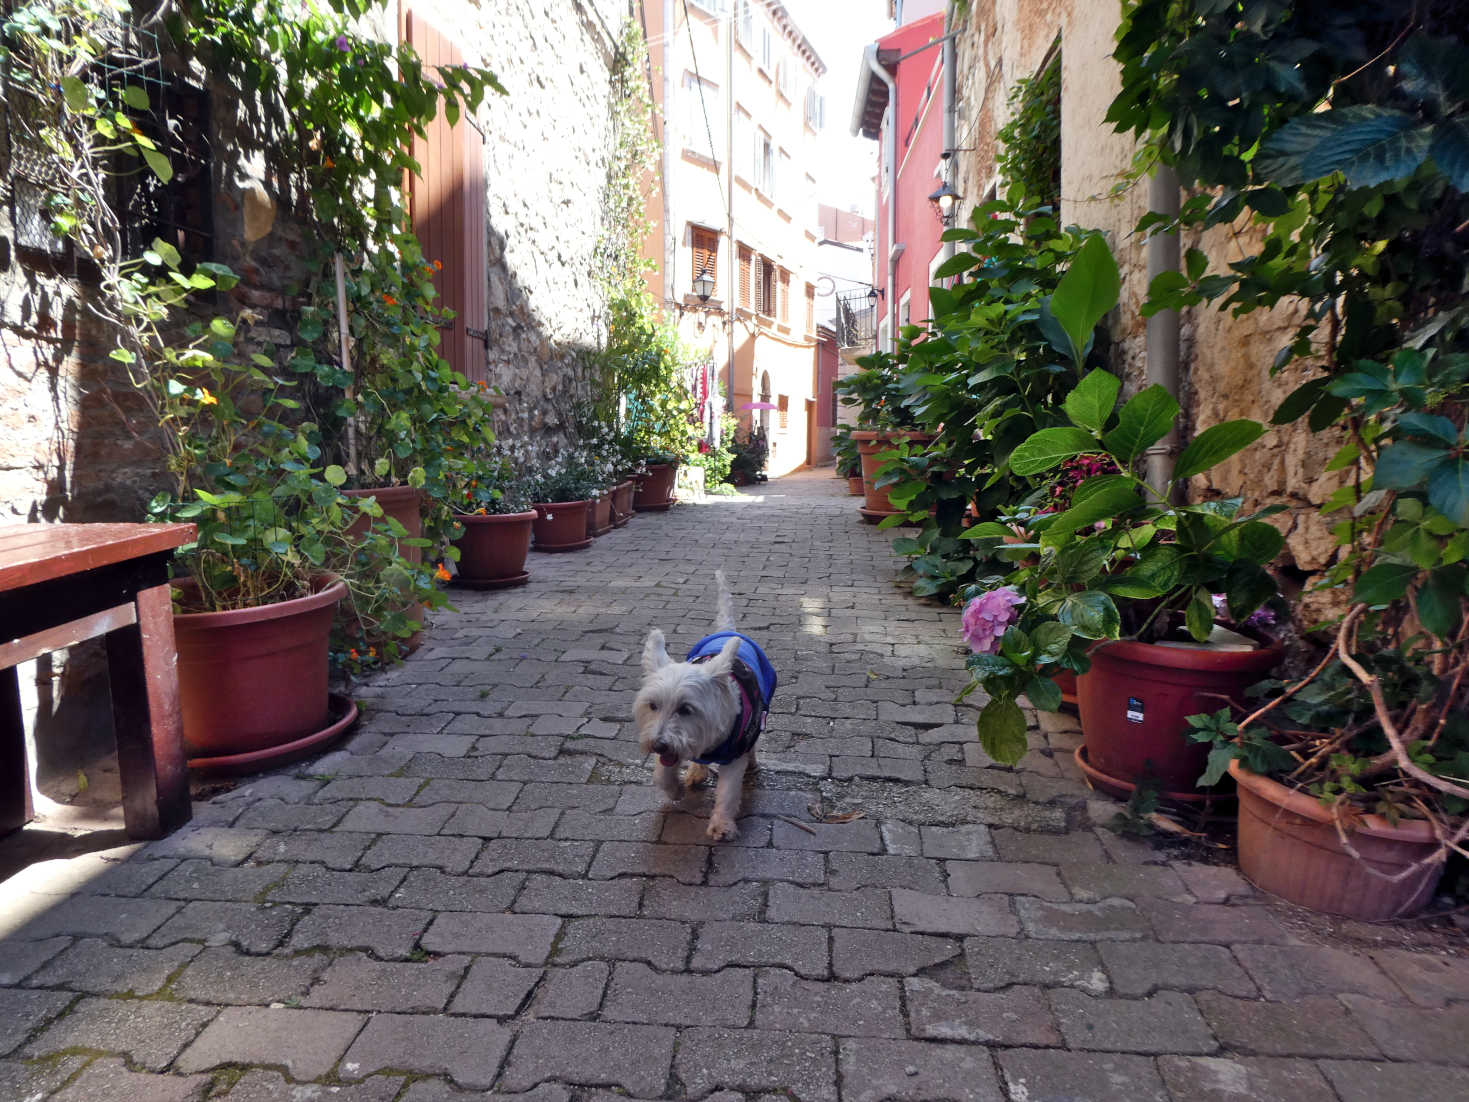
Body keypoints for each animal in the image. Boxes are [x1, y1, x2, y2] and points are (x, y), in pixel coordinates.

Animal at [640, 573, 787, 840]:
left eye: (686, 709)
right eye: (653, 705)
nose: (657, 745)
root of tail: (726, 630)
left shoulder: (733, 755)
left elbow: (727, 791)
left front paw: (722, 825)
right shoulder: (675, 745)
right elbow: (661, 774)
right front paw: (675, 790)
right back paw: (696, 771)